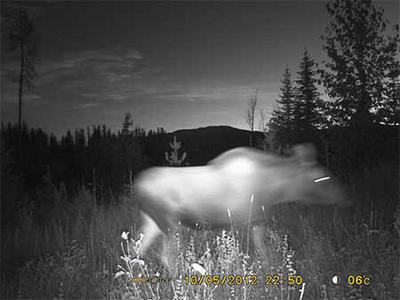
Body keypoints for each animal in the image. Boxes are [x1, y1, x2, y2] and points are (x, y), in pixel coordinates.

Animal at [134, 143, 344, 258]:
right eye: (322, 177)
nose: (344, 195)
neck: (275, 190)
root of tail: (137, 187)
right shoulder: (244, 220)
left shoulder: (256, 220)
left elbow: (265, 249)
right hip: (169, 222)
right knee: (166, 257)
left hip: (151, 221)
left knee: (135, 250)